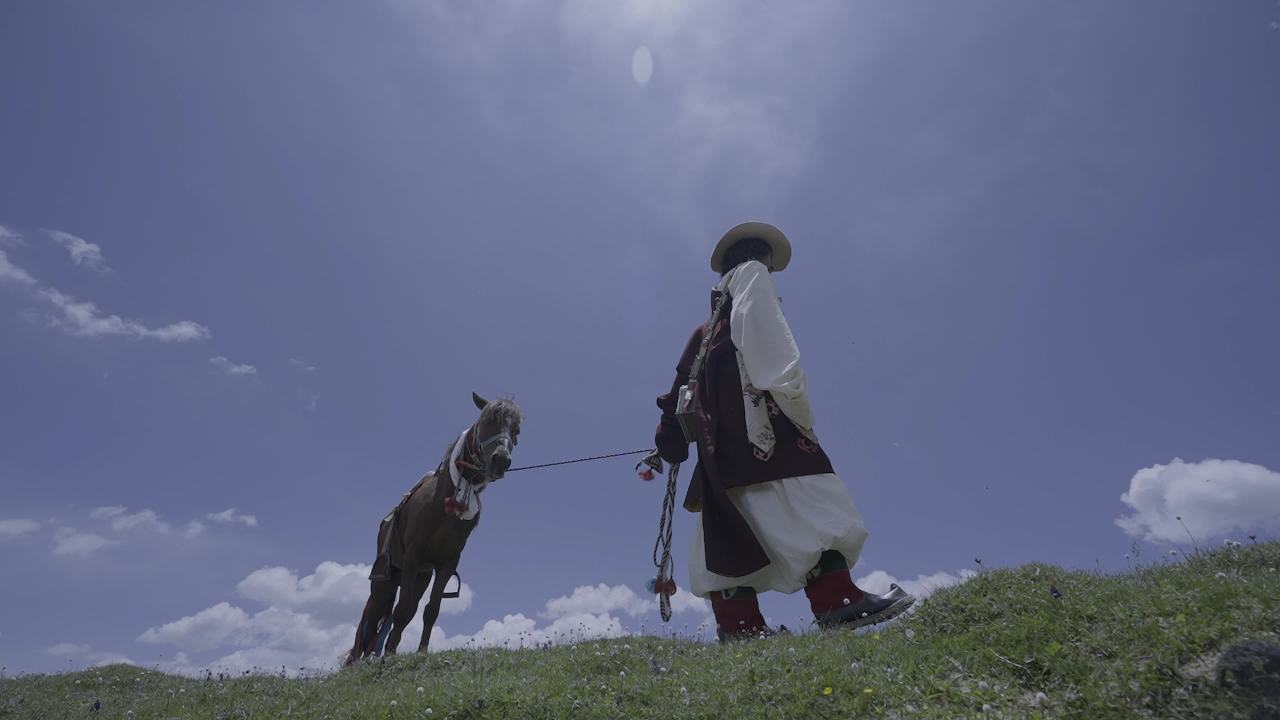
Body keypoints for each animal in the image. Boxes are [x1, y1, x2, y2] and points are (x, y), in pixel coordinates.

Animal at [344, 392, 522, 664]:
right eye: (488, 419)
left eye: (517, 430)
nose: (501, 460)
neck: (444, 503)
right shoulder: (412, 557)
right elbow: (403, 609)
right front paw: (391, 654)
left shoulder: (445, 564)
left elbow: (430, 610)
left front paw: (420, 651)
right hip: (385, 580)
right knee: (373, 615)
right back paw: (357, 662)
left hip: (421, 576)